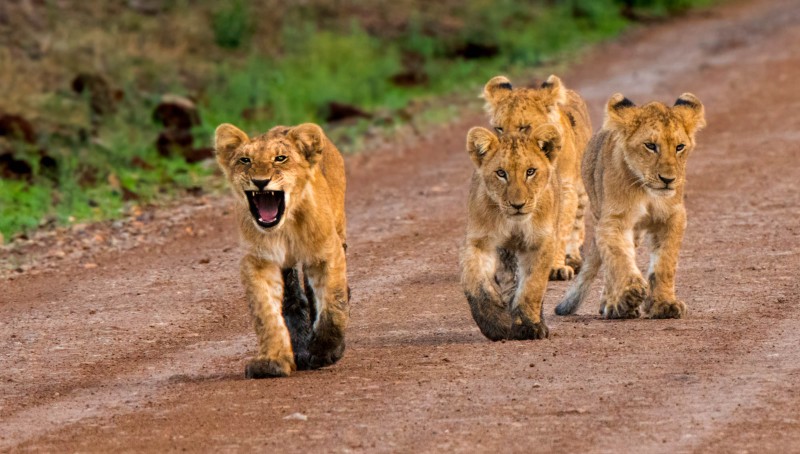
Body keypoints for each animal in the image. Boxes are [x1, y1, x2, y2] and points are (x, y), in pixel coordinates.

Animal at [215, 122, 349, 377]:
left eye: (280, 158)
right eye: (245, 160)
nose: (260, 182)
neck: (284, 227)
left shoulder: (326, 252)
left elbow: (331, 304)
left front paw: (324, 351)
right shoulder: (259, 261)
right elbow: (266, 313)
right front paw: (272, 361)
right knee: (292, 298)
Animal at [461, 124, 563, 341]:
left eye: (530, 172)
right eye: (501, 173)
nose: (518, 205)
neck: (512, 223)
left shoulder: (541, 241)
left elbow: (533, 286)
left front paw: (529, 326)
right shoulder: (479, 242)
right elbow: (477, 286)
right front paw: (496, 325)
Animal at [482, 75, 592, 280]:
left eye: (524, 127)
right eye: (499, 128)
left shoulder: (566, 189)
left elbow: (560, 229)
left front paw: (556, 267)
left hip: (581, 190)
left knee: (577, 226)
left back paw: (573, 258)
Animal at [555, 93, 706, 319]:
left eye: (680, 147)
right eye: (650, 146)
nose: (668, 180)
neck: (647, 192)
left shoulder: (673, 218)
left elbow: (665, 264)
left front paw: (664, 304)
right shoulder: (614, 220)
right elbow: (619, 258)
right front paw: (631, 292)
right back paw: (615, 305)